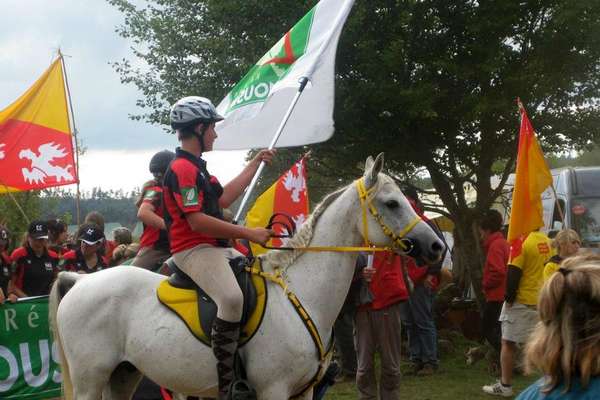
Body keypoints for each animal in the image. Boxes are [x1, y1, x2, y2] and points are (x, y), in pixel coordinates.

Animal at [49, 154, 442, 400]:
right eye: (392, 203)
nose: (437, 246)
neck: (302, 292)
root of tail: (80, 280)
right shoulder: (274, 390)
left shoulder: (303, 391)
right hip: (89, 379)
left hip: (124, 374)